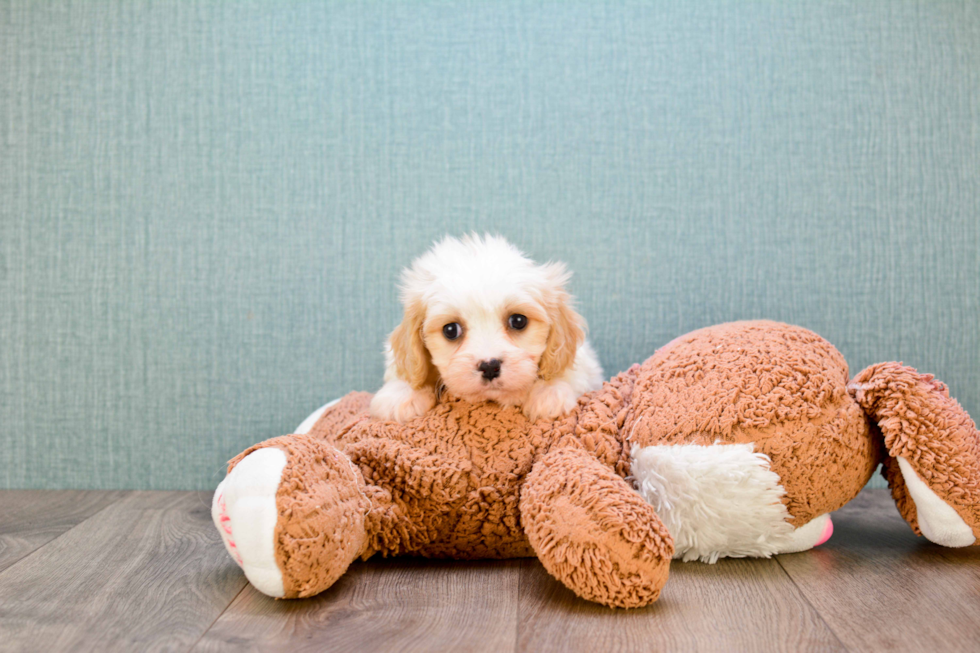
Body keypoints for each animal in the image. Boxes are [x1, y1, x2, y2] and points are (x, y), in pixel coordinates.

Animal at [370, 234, 604, 422]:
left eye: (518, 321)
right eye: (450, 330)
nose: (490, 366)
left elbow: (567, 371)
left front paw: (548, 392)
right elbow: (408, 372)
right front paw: (400, 394)